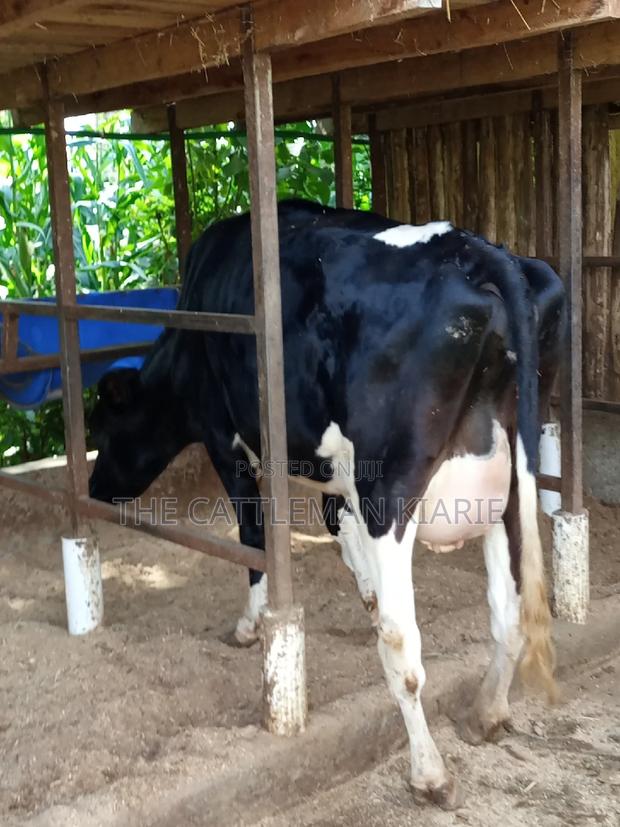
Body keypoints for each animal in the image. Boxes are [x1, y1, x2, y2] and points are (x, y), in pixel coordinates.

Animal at [89, 199, 565, 809]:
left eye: (105, 428)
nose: (93, 489)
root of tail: (479, 250)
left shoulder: (228, 440)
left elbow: (255, 536)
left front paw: (250, 625)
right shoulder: (337, 475)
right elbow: (340, 531)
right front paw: (366, 594)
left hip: (392, 487)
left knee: (404, 645)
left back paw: (430, 772)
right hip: (511, 480)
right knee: (508, 612)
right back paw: (487, 713)